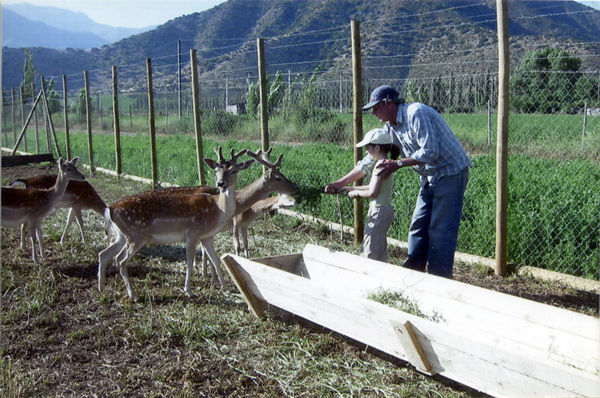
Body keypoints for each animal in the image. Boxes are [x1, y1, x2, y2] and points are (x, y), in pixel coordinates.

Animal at [97, 148, 252, 300]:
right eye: (216, 170)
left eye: (234, 170)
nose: (221, 183)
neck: (218, 210)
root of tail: (109, 209)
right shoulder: (192, 233)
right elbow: (190, 262)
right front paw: (188, 291)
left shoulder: (206, 236)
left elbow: (216, 260)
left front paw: (225, 287)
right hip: (135, 235)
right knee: (121, 260)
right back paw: (133, 295)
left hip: (123, 236)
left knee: (105, 254)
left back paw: (102, 288)